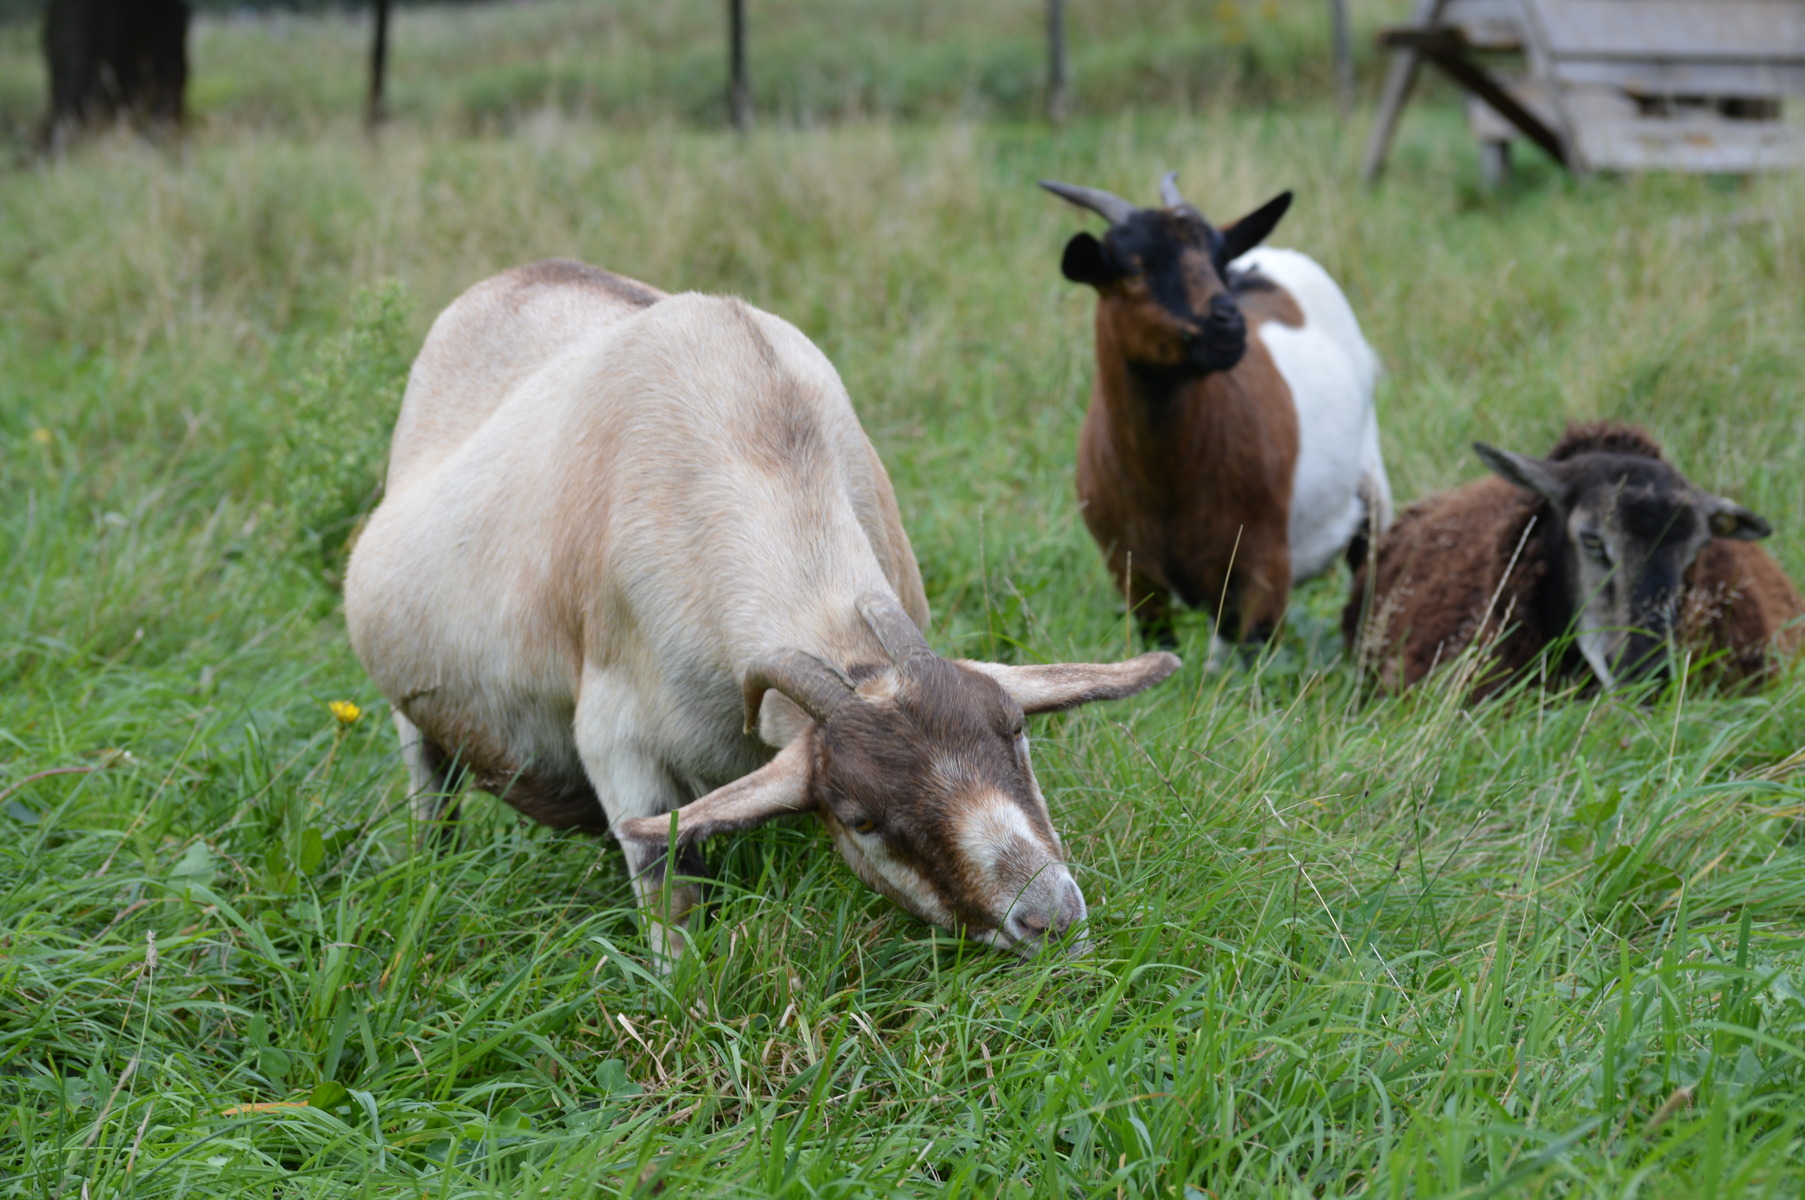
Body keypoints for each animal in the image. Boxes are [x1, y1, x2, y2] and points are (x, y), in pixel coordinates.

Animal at [343, 259, 1180, 960]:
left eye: (1015, 734)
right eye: (859, 817)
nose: (1049, 919)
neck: (758, 448)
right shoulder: (618, 743)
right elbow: (669, 891)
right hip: (413, 718)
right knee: (430, 789)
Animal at [1041, 172, 1391, 647]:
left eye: (1220, 263)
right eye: (1135, 270)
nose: (1229, 323)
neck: (1168, 483)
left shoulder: (1265, 566)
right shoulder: (1132, 574)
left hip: (1372, 491)